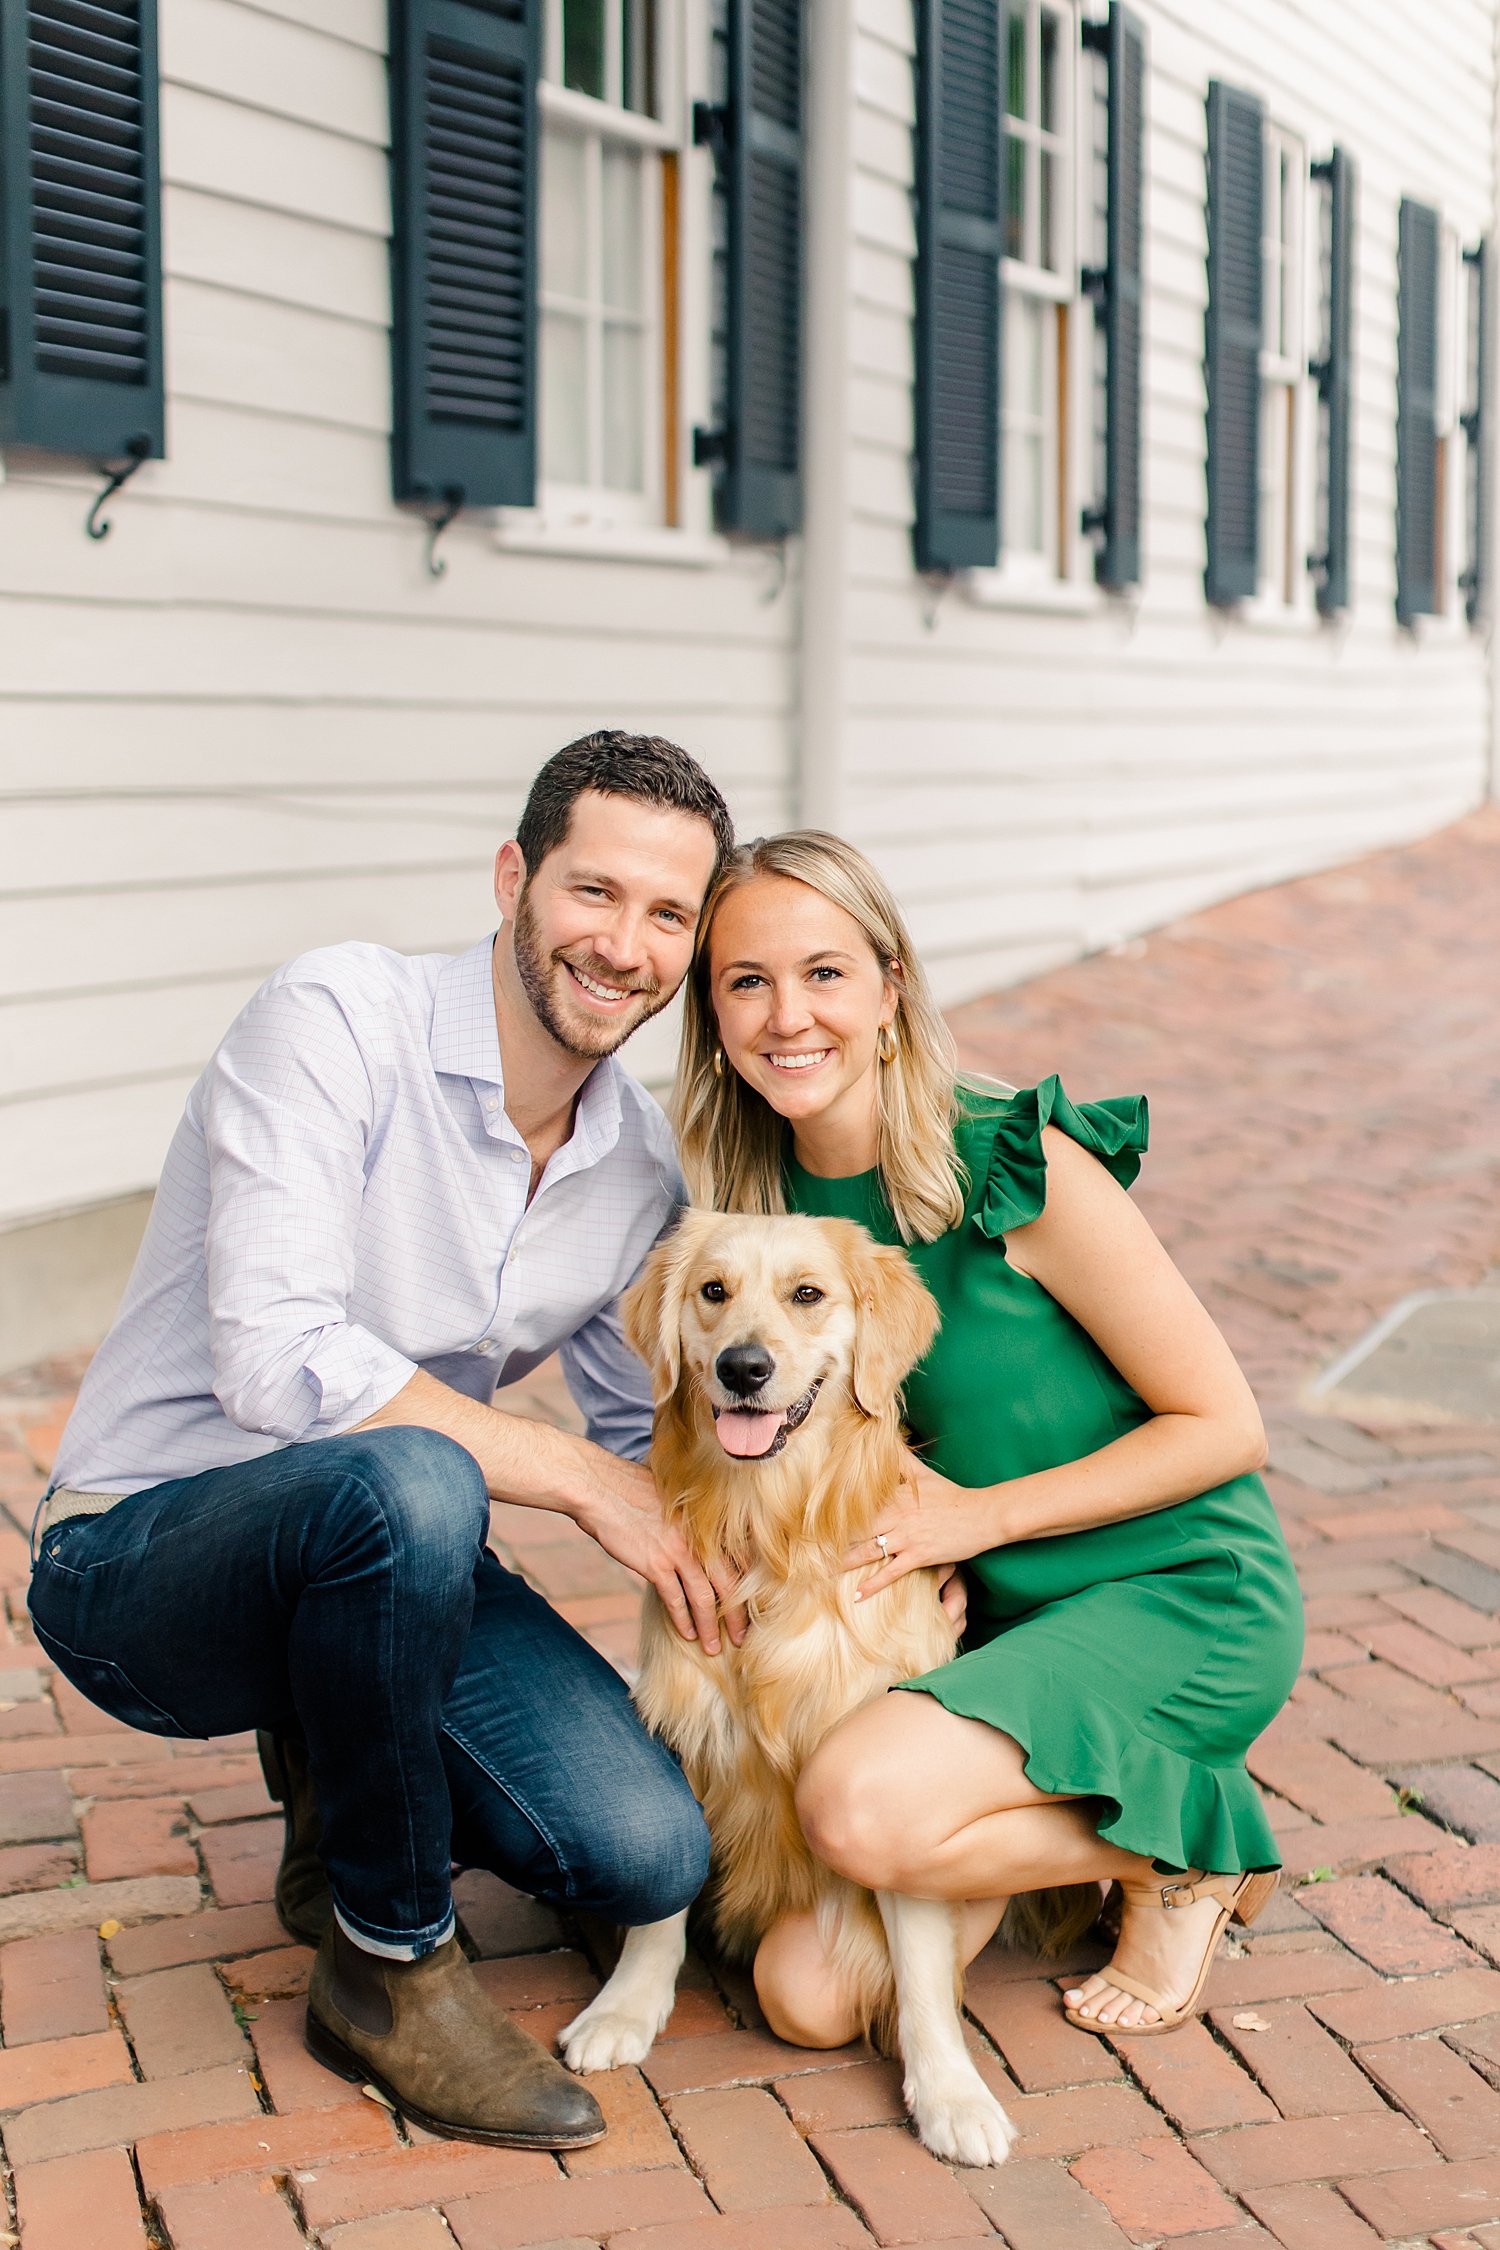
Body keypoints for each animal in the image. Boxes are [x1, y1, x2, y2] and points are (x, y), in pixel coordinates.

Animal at [562, 1215, 1020, 2160]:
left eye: (808, 1294)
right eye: (713, 1291)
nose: (744, 1367)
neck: (768, 1530)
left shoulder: (884, 1783)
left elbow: (923, 1970)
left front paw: (951, 2094)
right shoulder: (682, 1723)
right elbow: (660, 1904)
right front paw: (626, 2007)